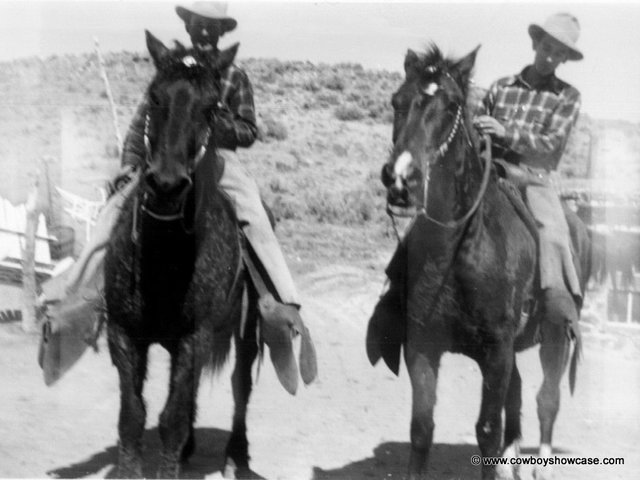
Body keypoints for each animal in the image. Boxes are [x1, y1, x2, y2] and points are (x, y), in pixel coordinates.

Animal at [104, 31, 259, 478]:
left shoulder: (196, 337)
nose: (167, 185)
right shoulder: (124, 334)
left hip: (246, 331)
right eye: (154, 96)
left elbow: (169, 420)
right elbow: (132, 415)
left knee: (241, 387)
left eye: (212, 107)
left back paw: (236, 455)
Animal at [376, 45, 593, 480]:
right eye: (397, 101)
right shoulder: (422, 345)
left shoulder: (496, 351)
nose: (401, 179)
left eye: (451, 105)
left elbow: (488, 429)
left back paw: (541, 465)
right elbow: (422, 428)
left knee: (547, 399)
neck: (457, 252)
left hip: (556, 336)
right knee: (519, 395)